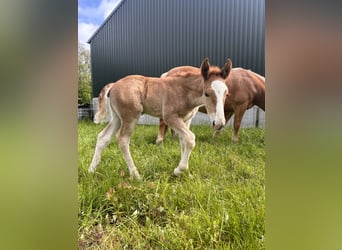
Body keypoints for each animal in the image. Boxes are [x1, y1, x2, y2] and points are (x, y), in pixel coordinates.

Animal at [88, 58, 232, 180]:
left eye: (227, 94)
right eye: (207, 93)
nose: (219, 123)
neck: (184, 91)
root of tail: (114, 84)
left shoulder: (185, 120)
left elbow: (183, 142)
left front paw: (186, 174)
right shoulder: (170, 117)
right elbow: (191, 139)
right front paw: (178, 170)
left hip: (117, 117)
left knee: (103, 137)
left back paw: (91, 170)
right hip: (130, 116)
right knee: (123, 140)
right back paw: (136, 175)